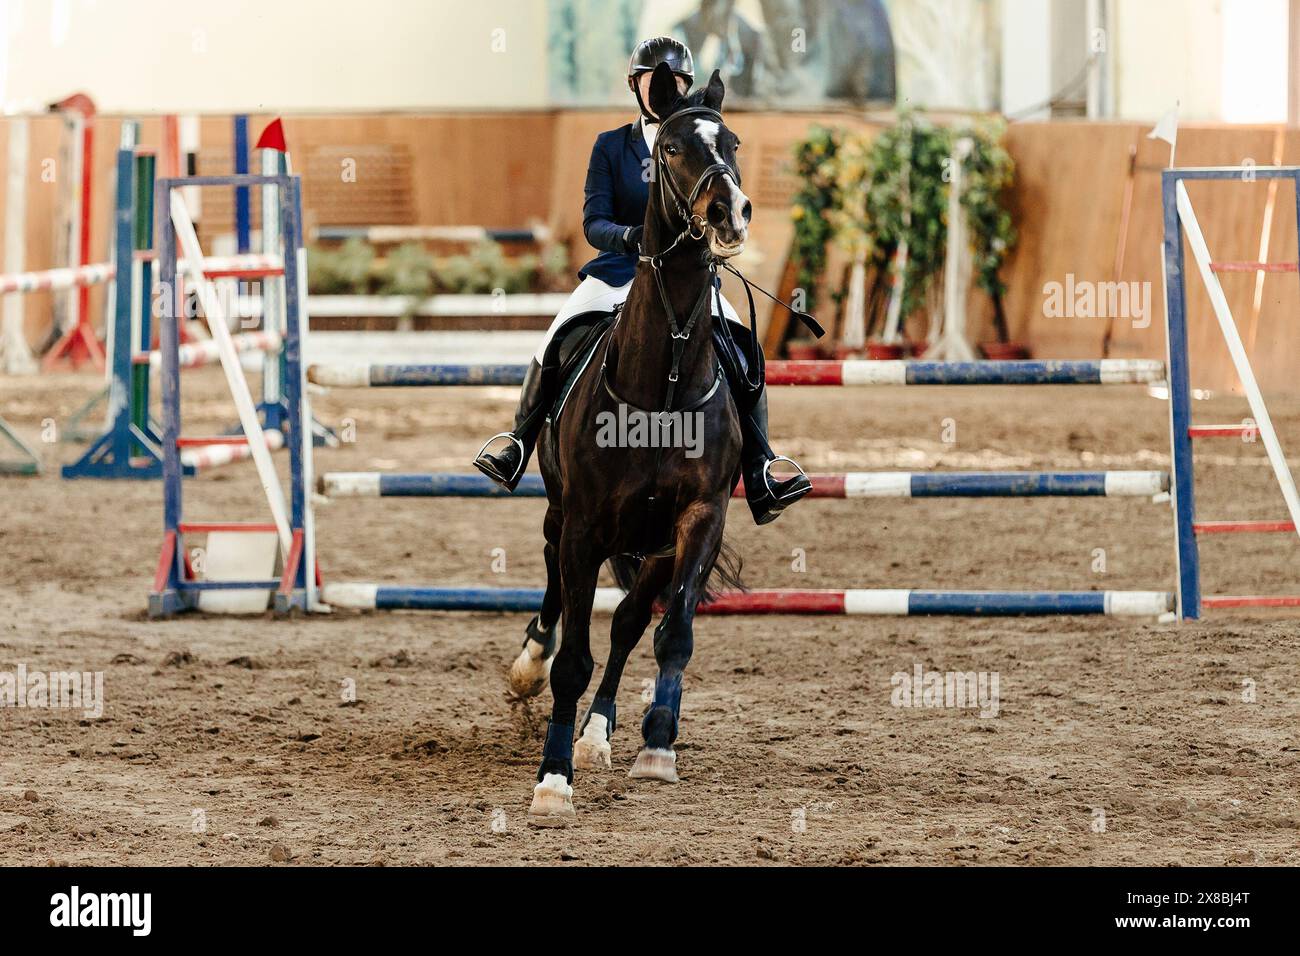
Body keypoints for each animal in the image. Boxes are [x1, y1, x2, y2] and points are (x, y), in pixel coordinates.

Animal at [506, 63, 754, 827]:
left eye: (732, 142)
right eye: (670, 148)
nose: (728, 213)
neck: (664, 381)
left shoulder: (697, 520)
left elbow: (668, 635)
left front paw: (655, 746)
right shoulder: (586, 522)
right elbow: (572, 659)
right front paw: (552, 781)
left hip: (651, 545)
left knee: (626, 626)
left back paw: (599, 735)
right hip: (563, 515)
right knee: (556, 591)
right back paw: (529, 669)